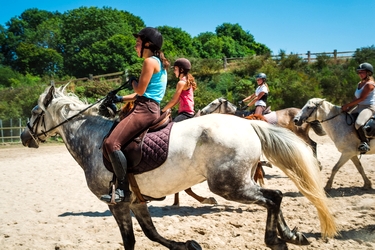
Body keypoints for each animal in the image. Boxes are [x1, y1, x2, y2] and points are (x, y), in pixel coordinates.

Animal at [19, 85, 338, 249]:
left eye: (35, 112)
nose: (23, 137)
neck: (94, 141)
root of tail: (248, 125)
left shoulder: (116, 203)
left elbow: (130, 240)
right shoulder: (135, 200)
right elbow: (151, 233)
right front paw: (186, 245)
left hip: (228, 185)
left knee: (273, 198)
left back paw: (275, 239)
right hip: (239, 181)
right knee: (275, 196)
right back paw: (290, 235)